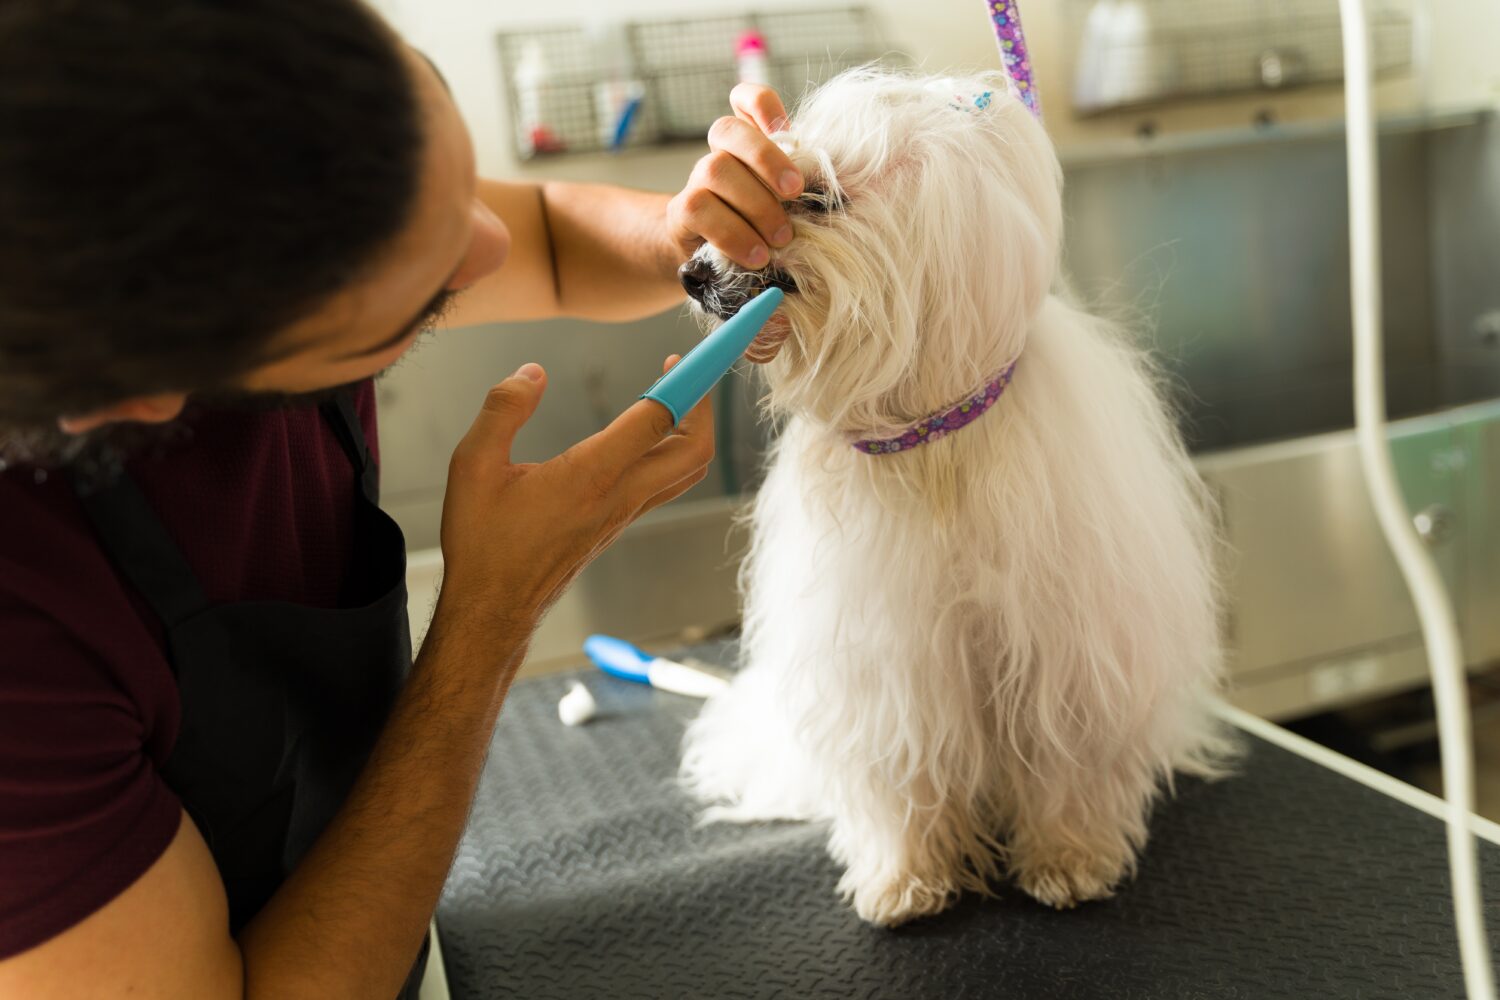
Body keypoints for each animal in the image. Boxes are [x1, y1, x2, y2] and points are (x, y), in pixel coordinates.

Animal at [681, 72, 1230, 929]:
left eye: (818, 196)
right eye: (753, 199)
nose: (693, 272)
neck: (932, 441)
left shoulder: (1064, 658)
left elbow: (1065, 765)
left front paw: (1069, 860)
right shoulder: (889, 664)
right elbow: (904, 776)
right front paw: (905, 881)